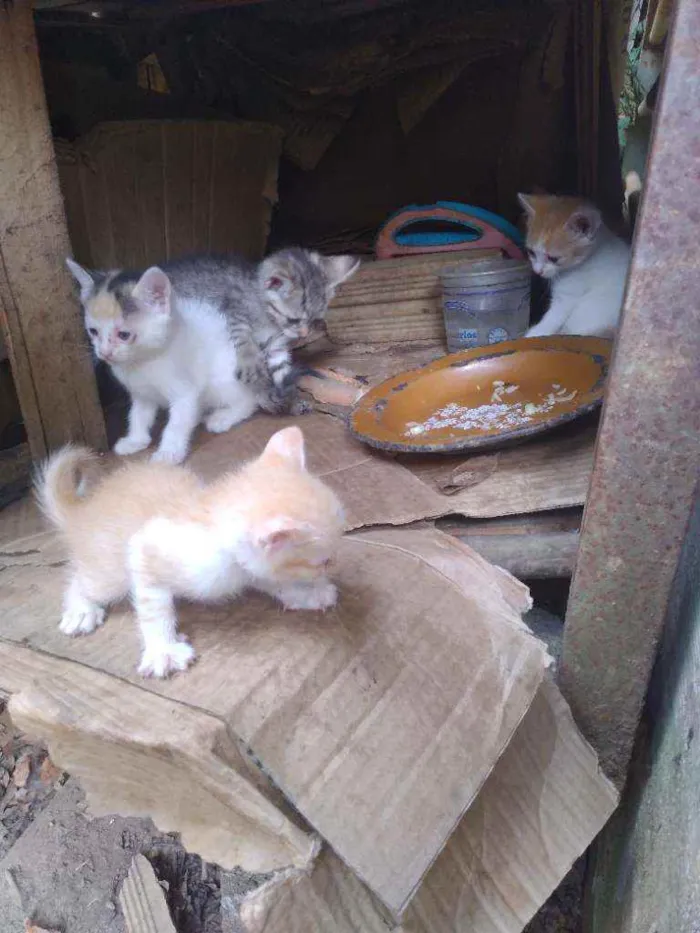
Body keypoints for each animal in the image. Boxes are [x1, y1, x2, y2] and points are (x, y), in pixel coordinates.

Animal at [37, 424, 344, 676]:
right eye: (324, 561)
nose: (330, 567)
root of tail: (83, 512)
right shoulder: (146, 549)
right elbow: (154, 609)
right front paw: (162, 650)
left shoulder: (248, 568)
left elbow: (268, 578)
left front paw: (306, 594)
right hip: (110, 573)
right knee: (81, 579)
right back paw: (81, 610)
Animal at [67, 249, 356, 464]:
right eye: (93, 332)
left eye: (124, 334)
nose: (104, 353)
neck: (142, 363)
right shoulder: (142, 394)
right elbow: (138, 416)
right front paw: (135, 440)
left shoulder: (186, 392)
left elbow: (177, 422)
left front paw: (168, 453)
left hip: (221, 381)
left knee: (249, 401)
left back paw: (223, 417)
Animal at [516, 194, 632, 338]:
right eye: (531, 252)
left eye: (553, 259)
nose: (538, 271)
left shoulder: (568, 297)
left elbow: (551, 320)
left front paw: (533, 334)